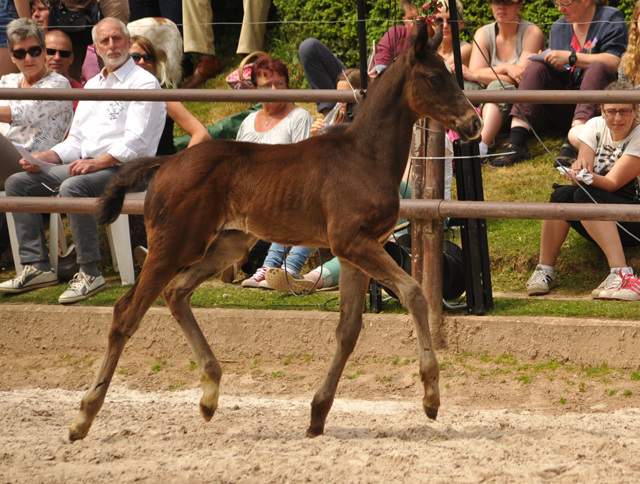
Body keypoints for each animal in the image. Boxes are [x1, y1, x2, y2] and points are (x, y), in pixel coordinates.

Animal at [70, 25, 480, 442]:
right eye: (434, 78)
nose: (474, 124)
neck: (365, 155)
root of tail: (164, 163)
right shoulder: (353, 242)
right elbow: (414, 293)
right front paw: (430, 397)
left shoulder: (356, 250)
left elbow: (349, 329)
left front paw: (318, 412)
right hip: (175, 246)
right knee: (127, 312)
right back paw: (84, 415)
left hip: (227, 244)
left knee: (176, 292)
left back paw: (210, 394)